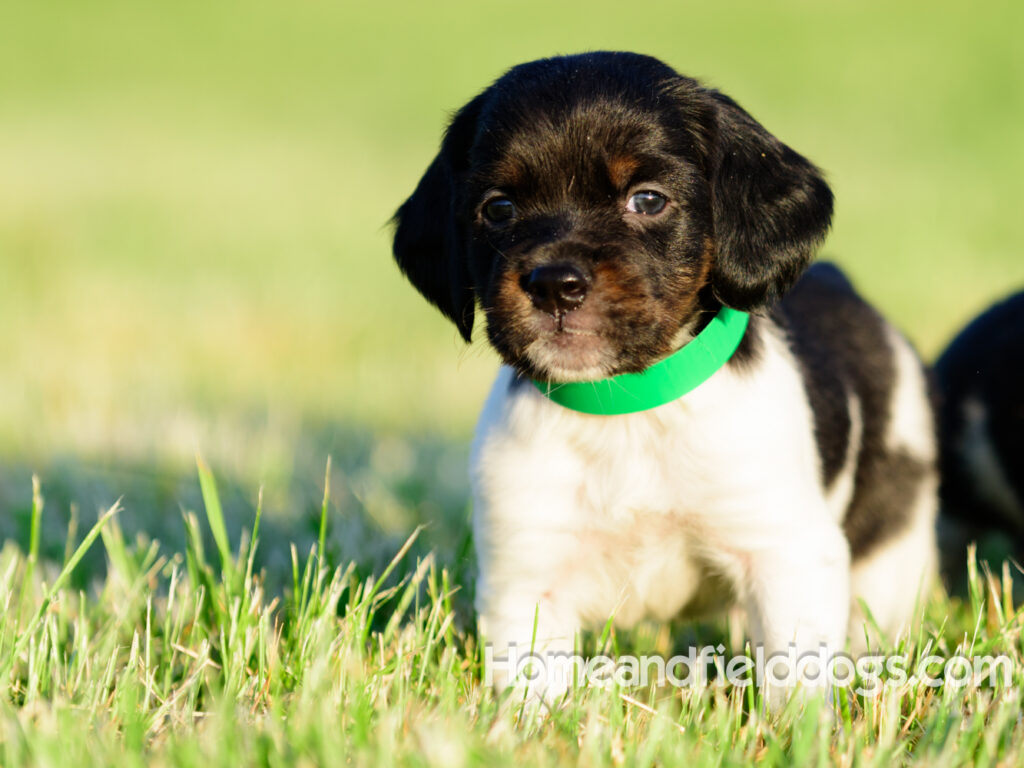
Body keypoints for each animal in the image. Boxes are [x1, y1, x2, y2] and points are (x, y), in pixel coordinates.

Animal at [389, 51, 937, 708]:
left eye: (647, 200)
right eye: (498, 208)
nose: (554, 285)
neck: (629, 414)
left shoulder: (785, 552)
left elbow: (794, 678)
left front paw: (796, 727)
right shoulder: (528, 571)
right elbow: (533, 690)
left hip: (890, 552)